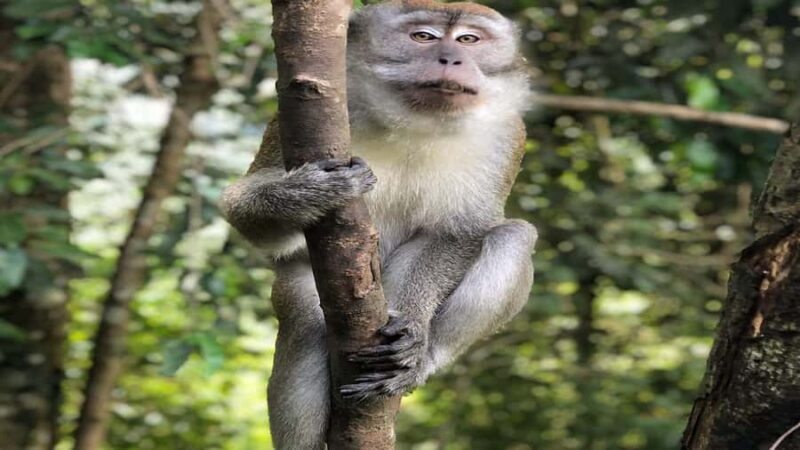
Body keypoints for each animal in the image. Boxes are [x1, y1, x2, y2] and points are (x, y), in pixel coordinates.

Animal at [221, 1, 537, 448]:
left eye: (469, 39)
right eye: (422, 37)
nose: (451, 59)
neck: (418, 122)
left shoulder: (507, 136)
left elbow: (461, 231)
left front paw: (414, 327)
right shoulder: (292, 121)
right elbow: (240, 207)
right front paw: (310, 191)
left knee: (514, 237)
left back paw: (418, 362)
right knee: (304, 315)